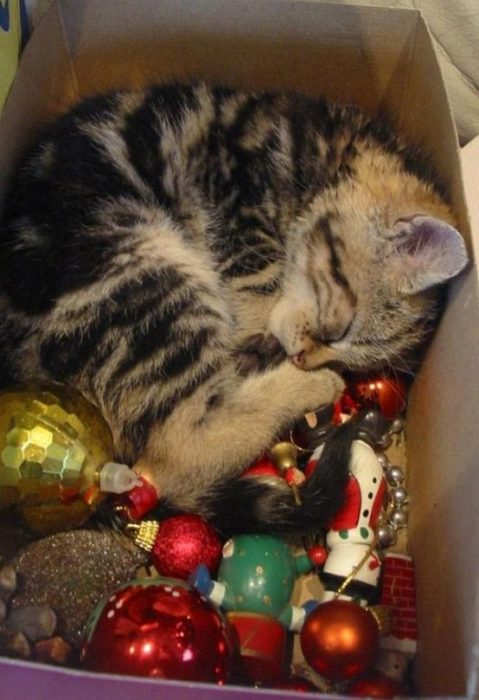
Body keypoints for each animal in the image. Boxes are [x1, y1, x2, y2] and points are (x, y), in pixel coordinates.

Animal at [0, 82, 466, 536]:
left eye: (355, 360)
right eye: (340, 328)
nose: (304, 358)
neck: (321, 157)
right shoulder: (237, 202)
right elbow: (259, 279)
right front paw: (264, 337)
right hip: (141, 271)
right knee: (186, 444)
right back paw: (310, 385)